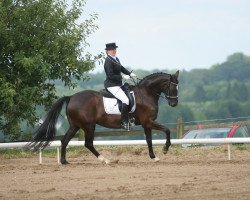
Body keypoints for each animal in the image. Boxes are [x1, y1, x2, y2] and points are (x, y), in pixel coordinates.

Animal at [27, 70, 179, 164]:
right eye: (173, 87)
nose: (174, 104)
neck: (146, 93)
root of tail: (71, 97)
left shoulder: (146, 123)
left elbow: (149, 140)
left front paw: (154, 157)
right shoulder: (149, 121)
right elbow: (167, 130)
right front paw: (165, 149)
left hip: (75, 125)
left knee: (64, 141)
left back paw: (64, 162)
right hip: (89, 126)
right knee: (88, 144)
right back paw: (105, 160)